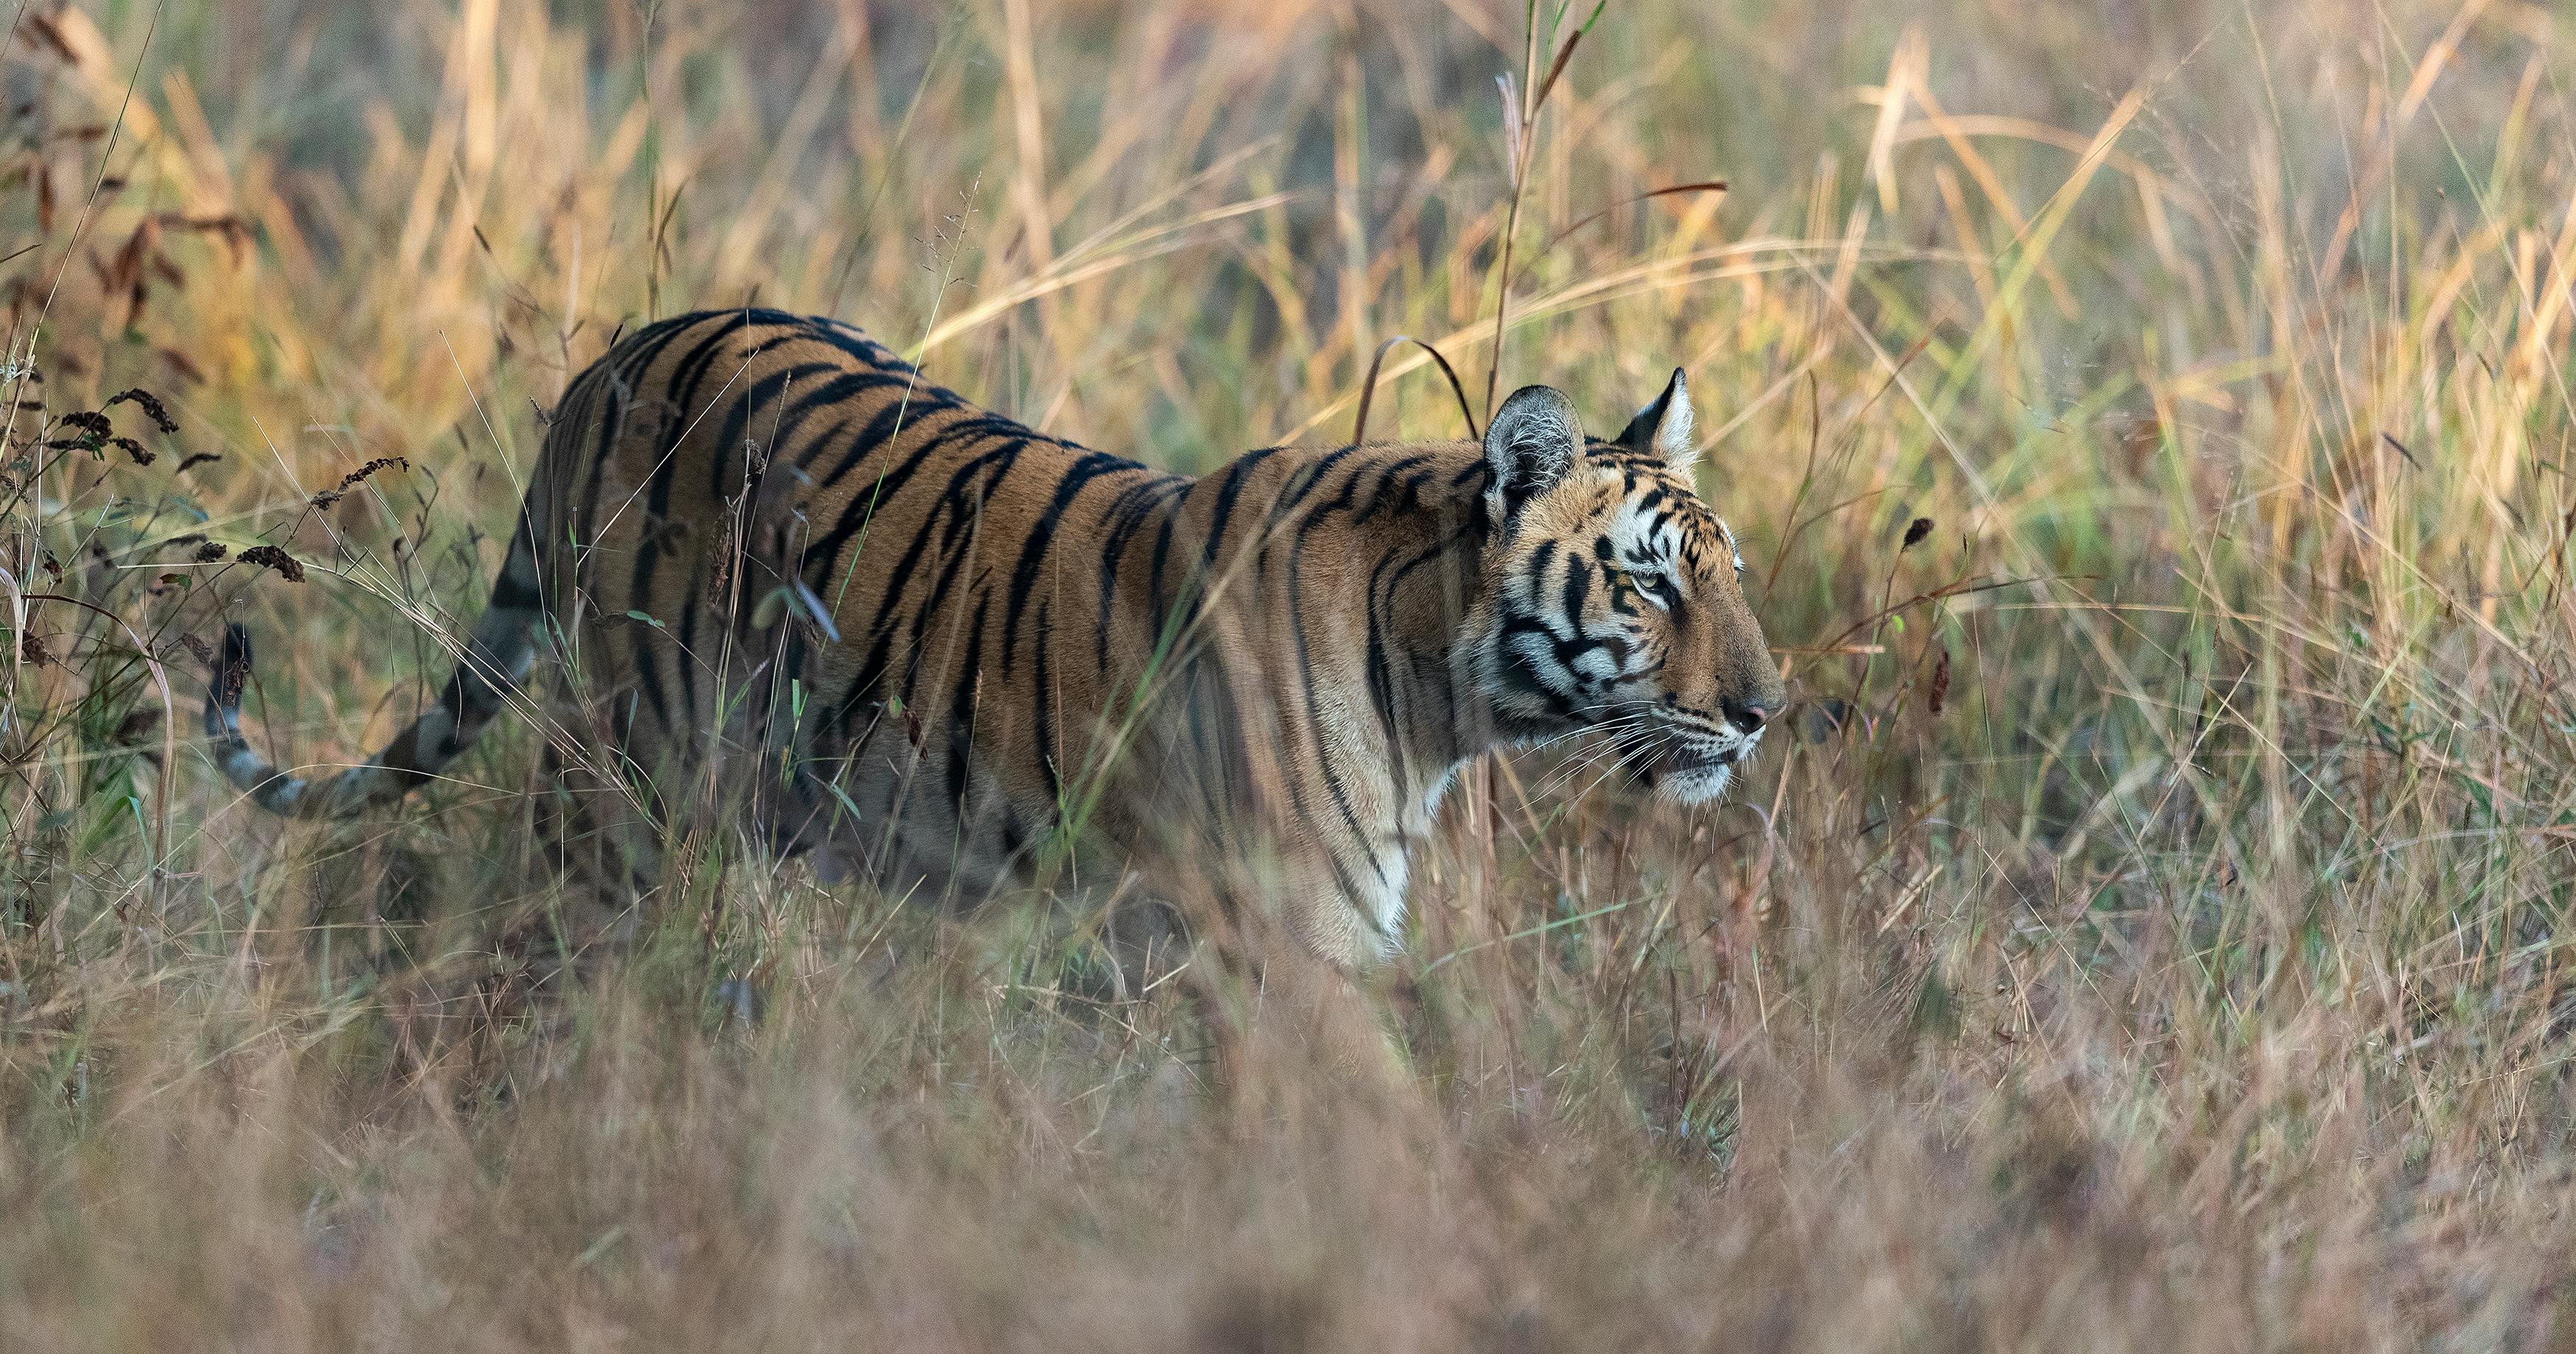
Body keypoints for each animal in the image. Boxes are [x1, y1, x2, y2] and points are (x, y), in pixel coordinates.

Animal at [201, 310, 1783, 978]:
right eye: (1651, 591)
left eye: (1731, 576)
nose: (1772, 713)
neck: (1443, 685)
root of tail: (610, 360)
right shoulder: (1300, 940)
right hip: (628, 776)